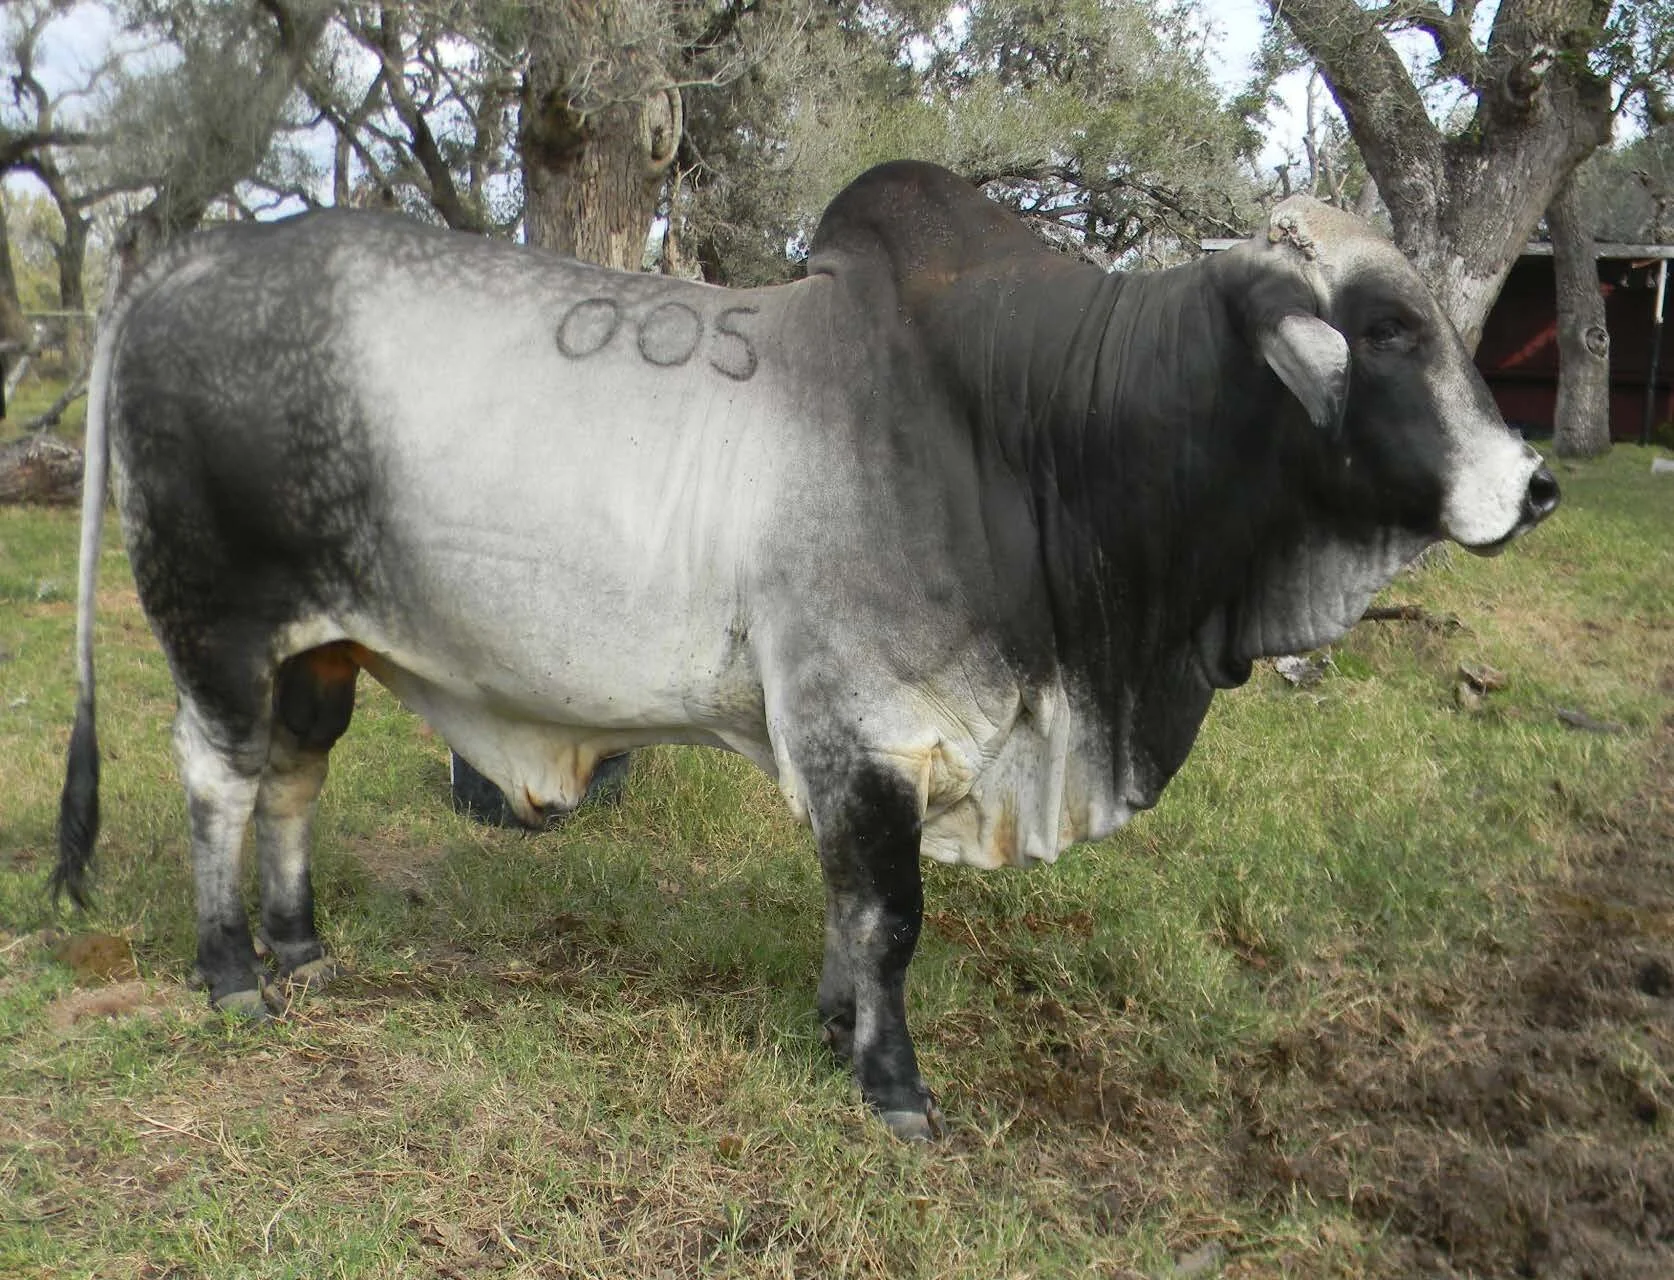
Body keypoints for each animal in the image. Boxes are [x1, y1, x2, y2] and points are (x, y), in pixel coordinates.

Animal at [55, 161, 1557, 1140]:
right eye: (1384, 331)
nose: (1535, 484)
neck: (1026, 434)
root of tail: (174, 266)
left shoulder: (870, 745)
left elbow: (849, 906)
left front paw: (838, 1029)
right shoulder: (868, 724)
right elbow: (889, 913)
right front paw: (894, 1089)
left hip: (324, 648)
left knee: (295, 778)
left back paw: (303, 947)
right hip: (217, 625)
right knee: (217, 779)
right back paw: (232, 974)